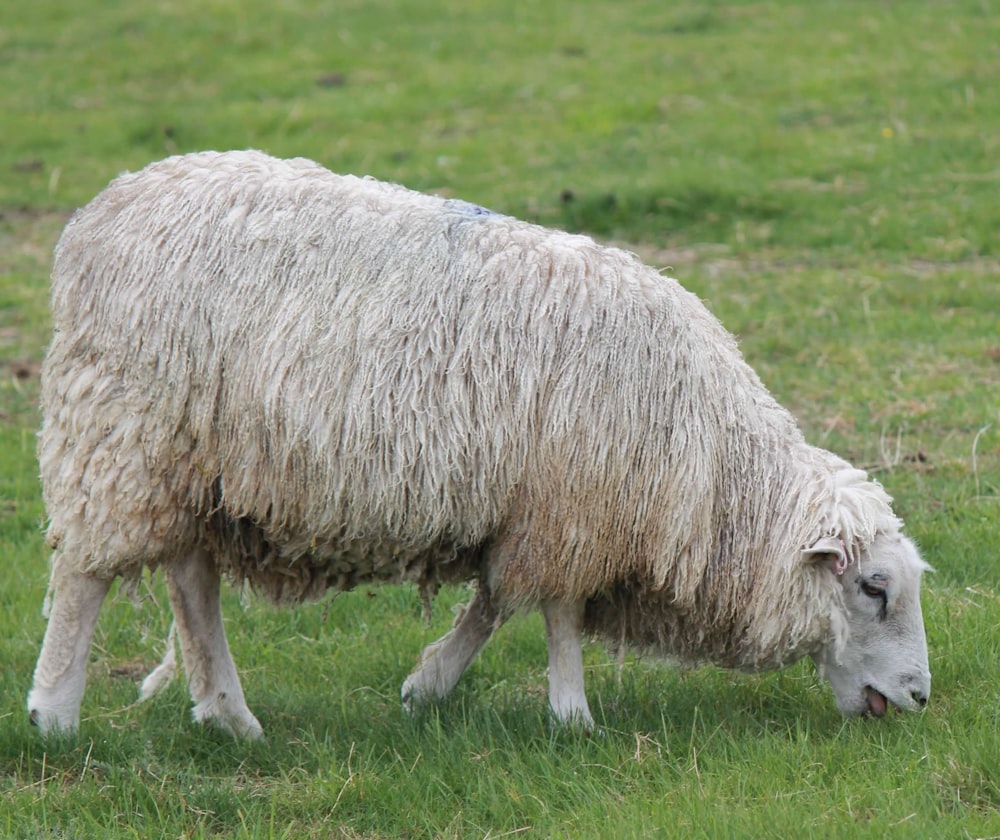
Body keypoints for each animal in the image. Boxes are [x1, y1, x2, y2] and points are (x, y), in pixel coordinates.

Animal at [25, 149, 928, 736]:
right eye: (873, 589)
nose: (921, 697)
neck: (713, 469)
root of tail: (103, 211)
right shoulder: (574, 503)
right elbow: (555, 612)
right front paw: (572, 715)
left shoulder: (533, 507)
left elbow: (495, 600)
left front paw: (429, 685)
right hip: (120, 429)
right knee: (85, 573)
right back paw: (55, 712)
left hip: (195, 460)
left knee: (191, 580)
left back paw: (228, 716)